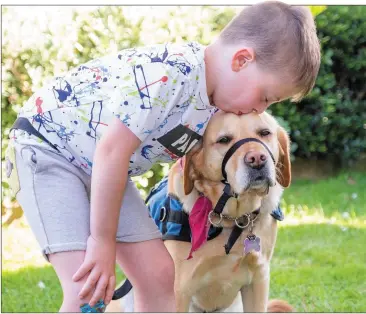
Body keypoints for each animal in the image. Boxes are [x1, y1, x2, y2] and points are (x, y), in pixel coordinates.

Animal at [108, 110, 292, 312]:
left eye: (265, 133)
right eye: (223, 140)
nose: (257, 159)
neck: (232, 219)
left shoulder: (258, 280)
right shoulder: (179, 289)